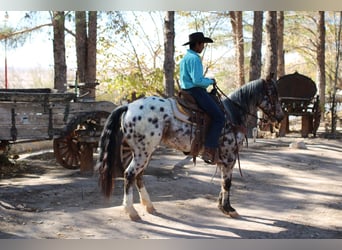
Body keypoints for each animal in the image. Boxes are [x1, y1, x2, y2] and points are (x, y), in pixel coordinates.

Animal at [95, 75, 284, 220]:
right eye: (273, 93)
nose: (281, 117)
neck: (231, 114)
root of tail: (128, 106)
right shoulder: (229, 157)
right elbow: (227, 182)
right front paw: (229, 209)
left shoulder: (224, 160)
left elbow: (223, 182)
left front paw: (221, 206)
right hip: (142, 152)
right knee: (129, 174)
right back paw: (132, 211)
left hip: (145, 152)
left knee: (138, 176)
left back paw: (149, 206)